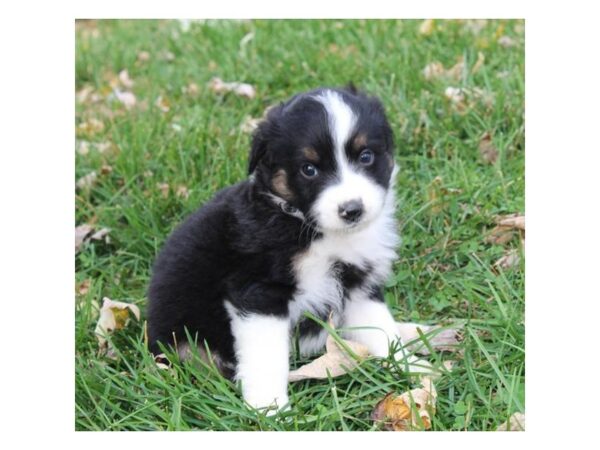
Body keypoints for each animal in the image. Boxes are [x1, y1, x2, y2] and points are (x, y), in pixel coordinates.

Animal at [148, 86, 434, 414]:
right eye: (309, 169)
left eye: (366, 156)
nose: (352, 210)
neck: (313, 228)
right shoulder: (259, 291)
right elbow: (267, 355)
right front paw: (270, 409)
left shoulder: (359, 284)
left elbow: (382, 331)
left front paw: (412, 366)